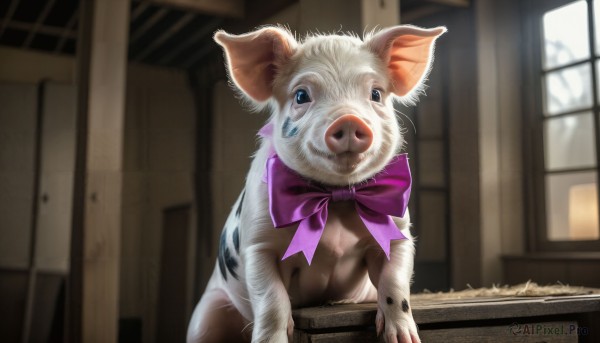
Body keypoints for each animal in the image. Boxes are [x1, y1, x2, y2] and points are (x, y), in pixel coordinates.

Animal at [188, 24, 446, 343]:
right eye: (301, 95)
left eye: (375, 93)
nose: (348, 120)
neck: (336, 198)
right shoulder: (257, 244)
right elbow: (271, 300)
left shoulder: (398, 235)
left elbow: (395, 284)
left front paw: (404, 338)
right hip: (204, 318)